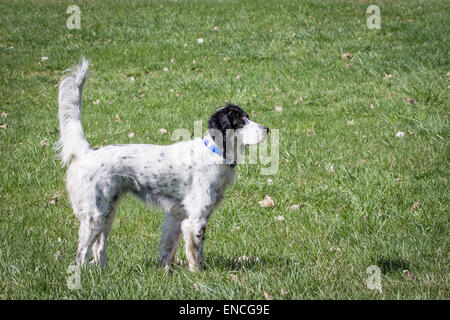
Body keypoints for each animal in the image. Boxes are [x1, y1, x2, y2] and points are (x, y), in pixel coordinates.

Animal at [55, 58, 268, 272]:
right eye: (240, 121)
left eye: (248, 117)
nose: (267, 128)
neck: (214, 151)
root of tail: (87, 152)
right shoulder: (196, 218)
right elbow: (196, 253)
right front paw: (198, 274)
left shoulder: (176, 216)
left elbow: (168, 248)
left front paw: (166, 270)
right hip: (95, 215)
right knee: (82, 253)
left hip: (108, 211)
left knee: (99, 248)